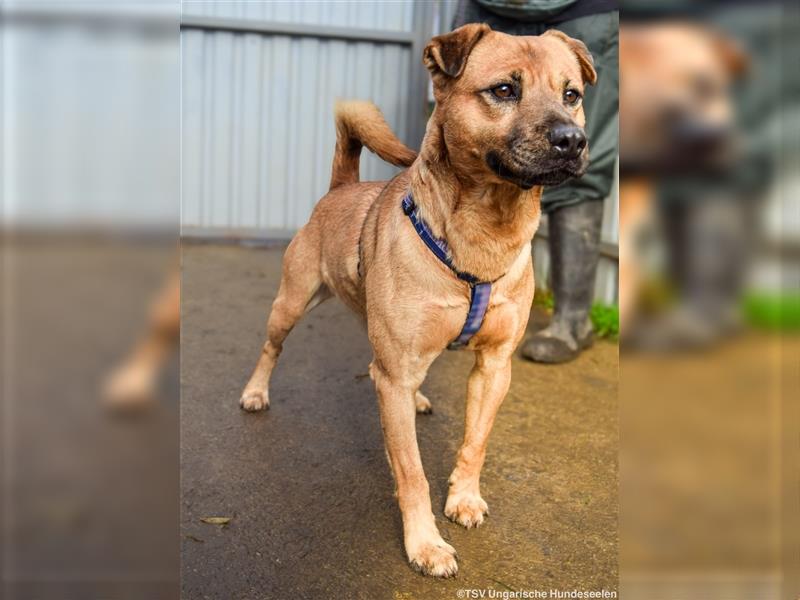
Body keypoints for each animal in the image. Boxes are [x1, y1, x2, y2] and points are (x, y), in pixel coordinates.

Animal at [241, 24, 596, 576]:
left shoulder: (494, 367)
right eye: (504, 90)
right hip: (291, 303)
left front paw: (464, 498)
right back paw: (256, 392)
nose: (572, 140)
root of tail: (339, 188)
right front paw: (425, 543)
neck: (484, 234)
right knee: (271, 347)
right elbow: (411, 472)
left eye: (571, 95)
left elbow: (475, 443)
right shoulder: (395, 373)